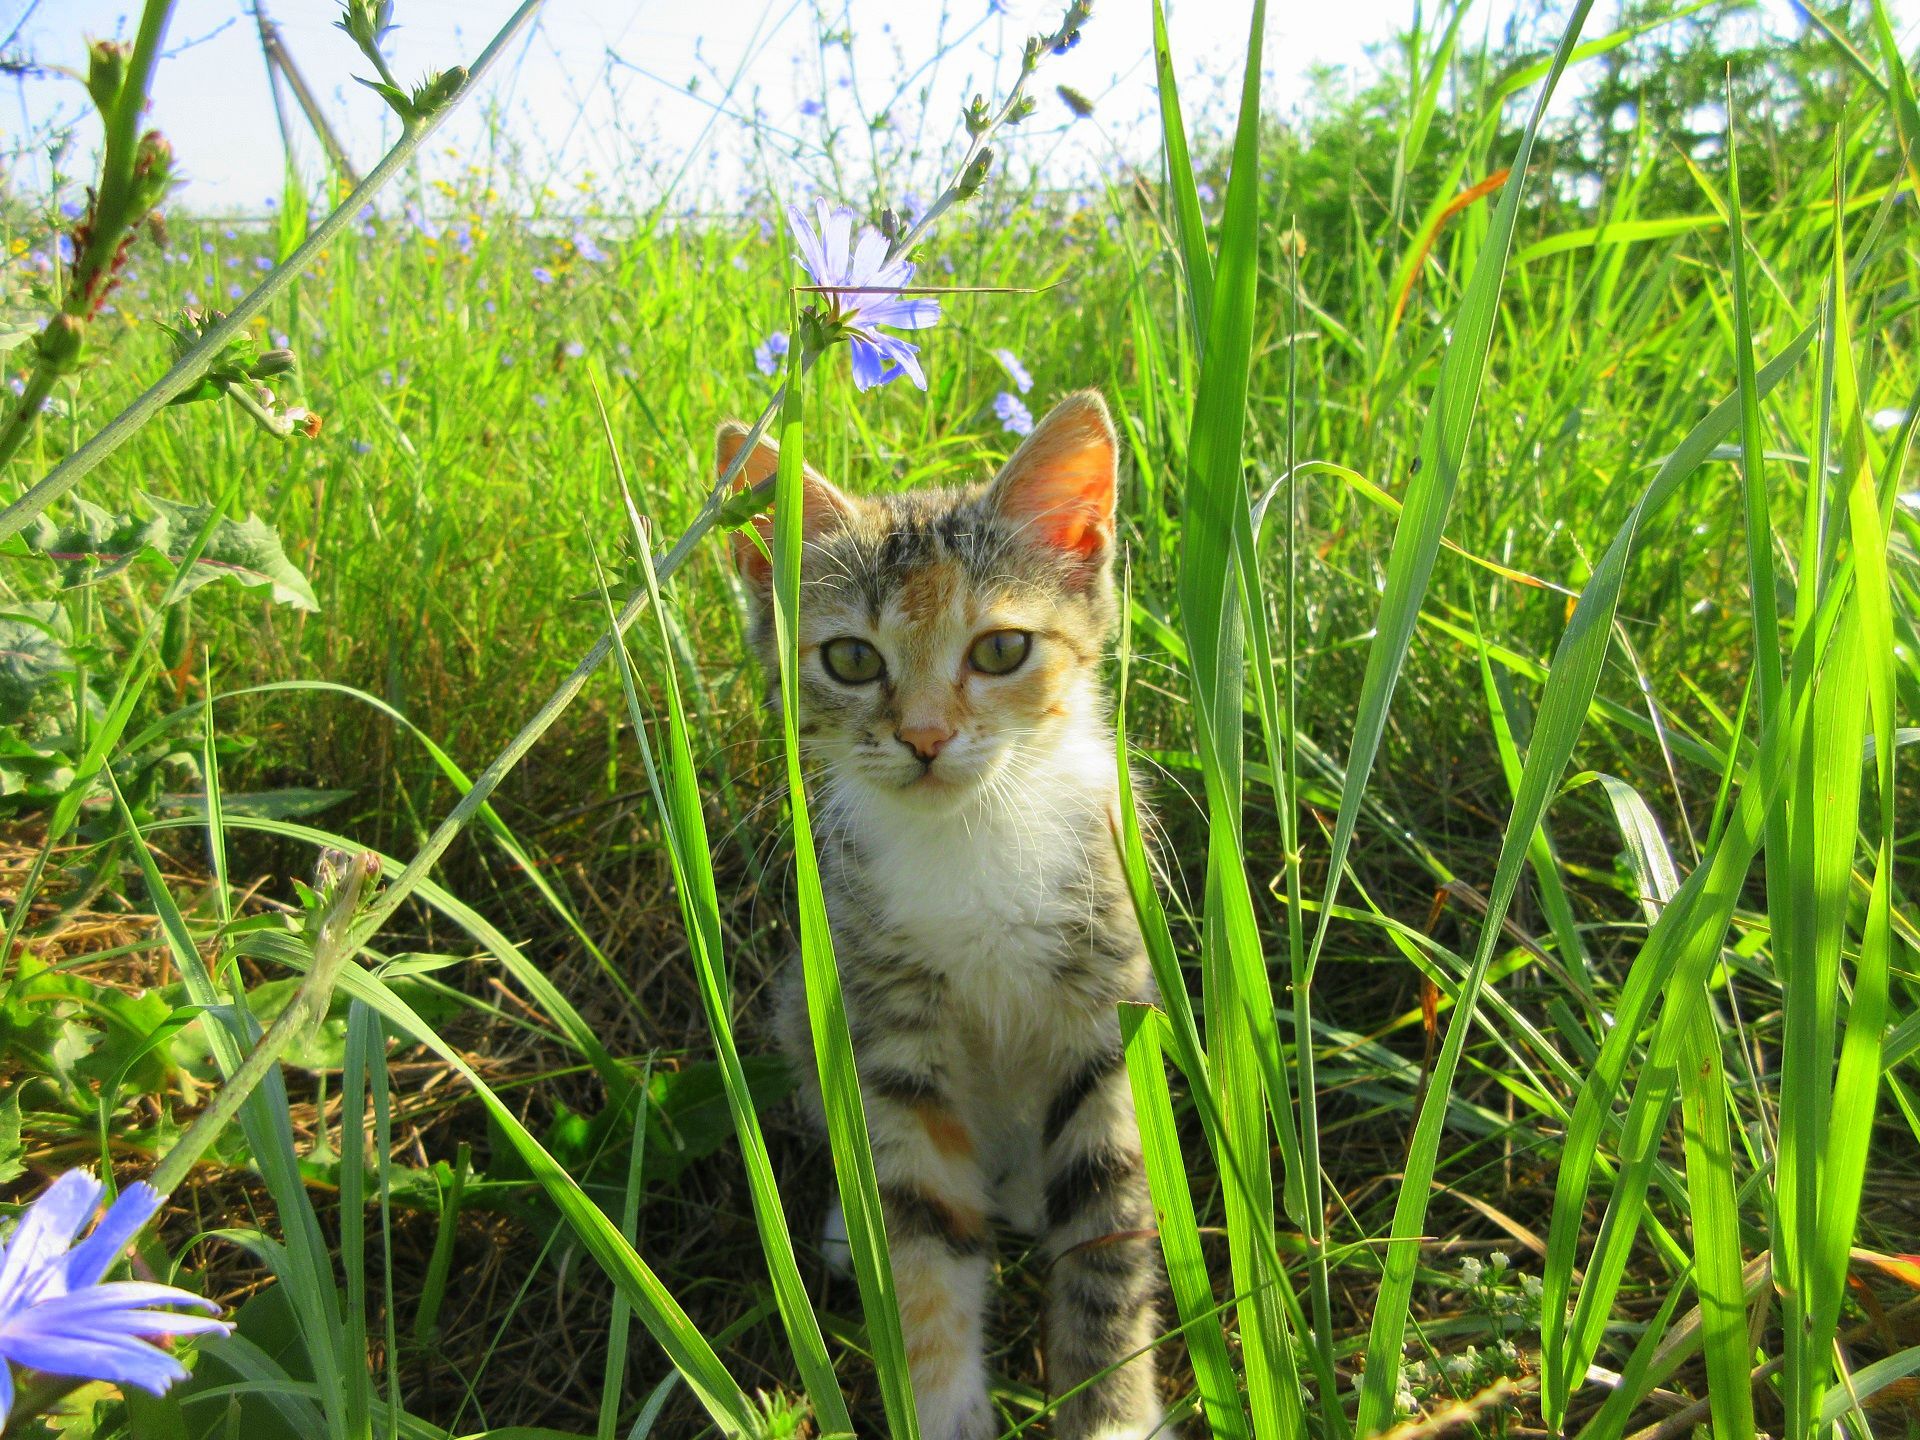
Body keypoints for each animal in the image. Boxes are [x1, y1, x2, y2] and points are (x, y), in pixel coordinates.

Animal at [725, 395, 1159, 1440]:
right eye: (850, 659)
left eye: (1001, 650)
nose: (923, 737)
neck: (972, 831)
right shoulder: (883, 1008)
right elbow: (919, 1222)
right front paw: (941, 1403)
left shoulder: (1105, 999)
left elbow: (1107, 1219)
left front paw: (1112, 1410)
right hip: (805, 998)